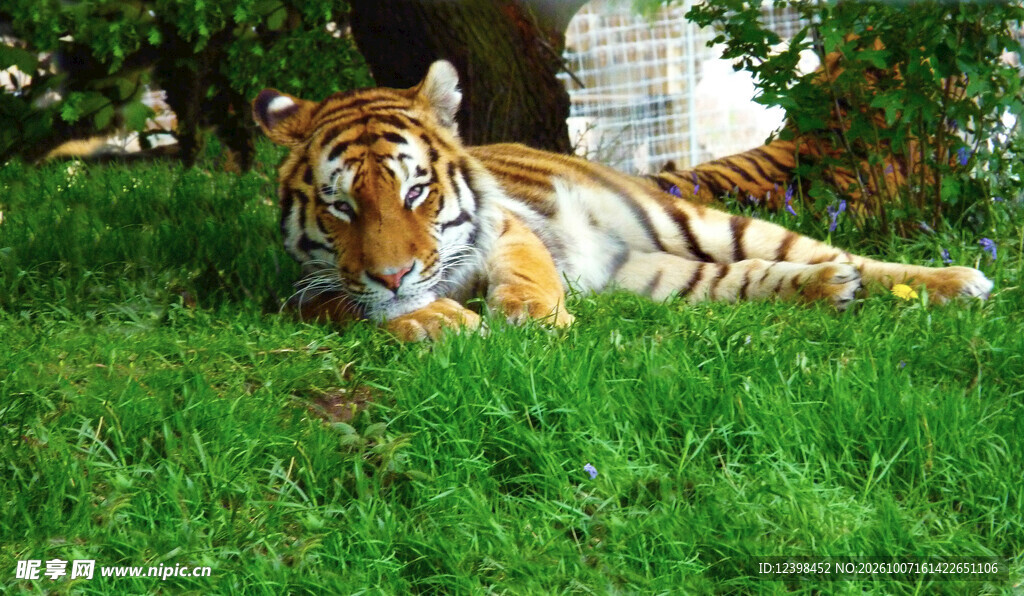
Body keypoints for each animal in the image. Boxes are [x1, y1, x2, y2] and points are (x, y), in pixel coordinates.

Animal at [252, 60, 993, 342]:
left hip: (690, 223)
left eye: (416, 190)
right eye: (342, 206)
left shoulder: (510, 229)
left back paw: (957, 281)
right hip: (663, 276)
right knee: (752, 277)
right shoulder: (306, 290)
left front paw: (528, 316)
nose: (395, 274)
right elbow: (352, 307)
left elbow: (526, 272)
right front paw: (432, 319)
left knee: (838, 254)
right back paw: (827, 289)